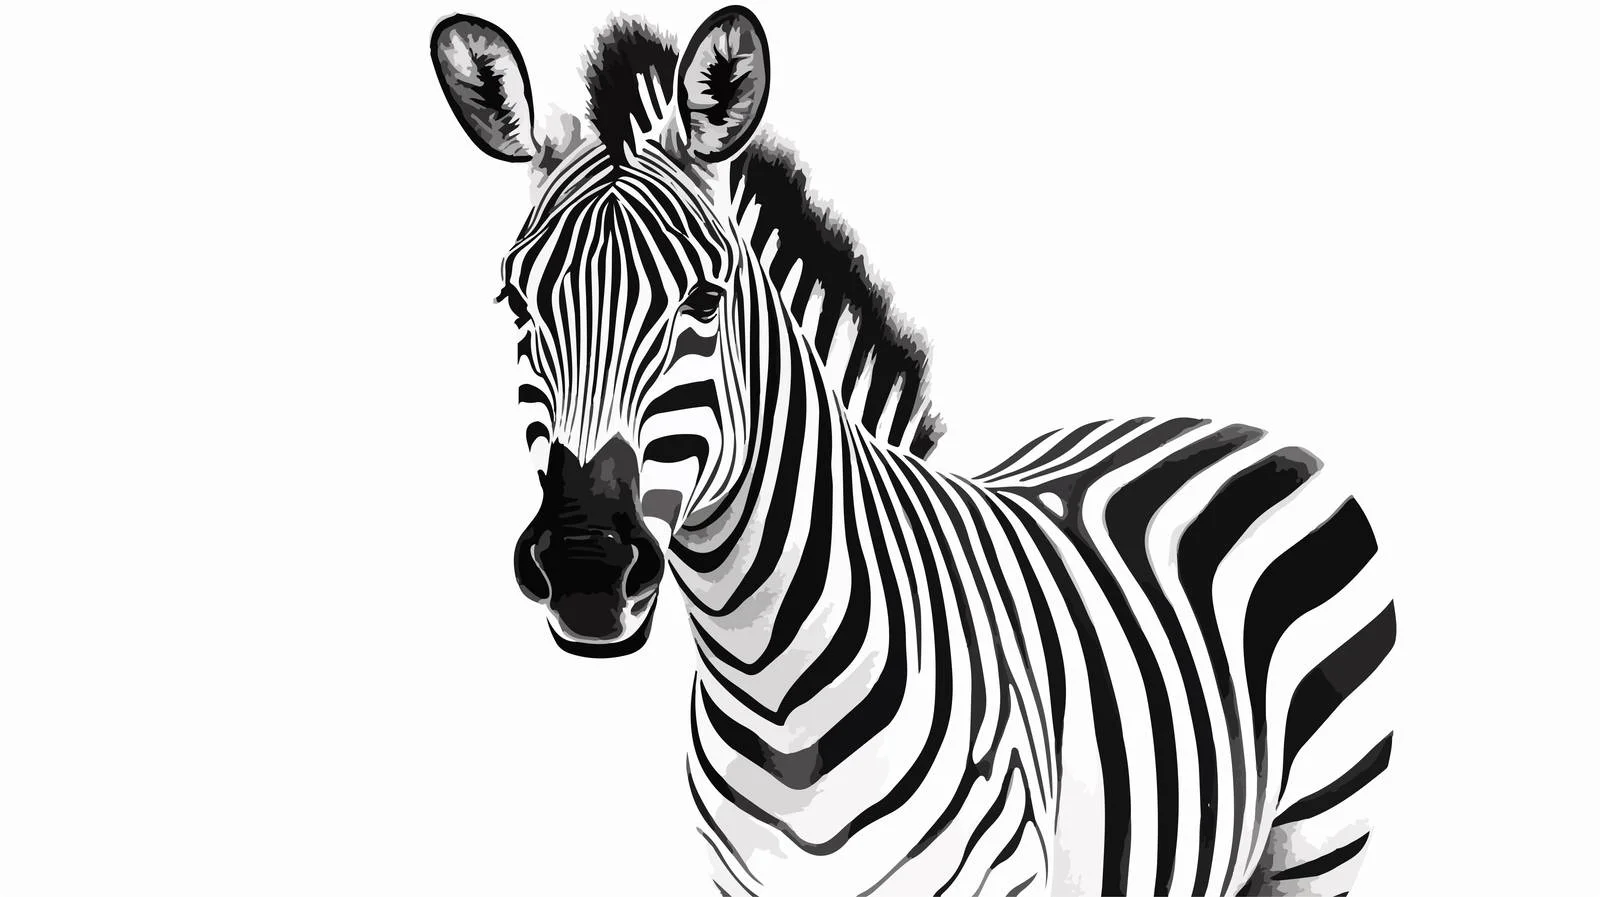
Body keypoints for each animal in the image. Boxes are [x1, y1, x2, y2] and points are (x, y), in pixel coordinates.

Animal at [429, 7, 1395, 895]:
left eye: (705, 300)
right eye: (515, 303)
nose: (585, 564)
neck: (776, 695)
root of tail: (1249, 429)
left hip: (1323, 835)